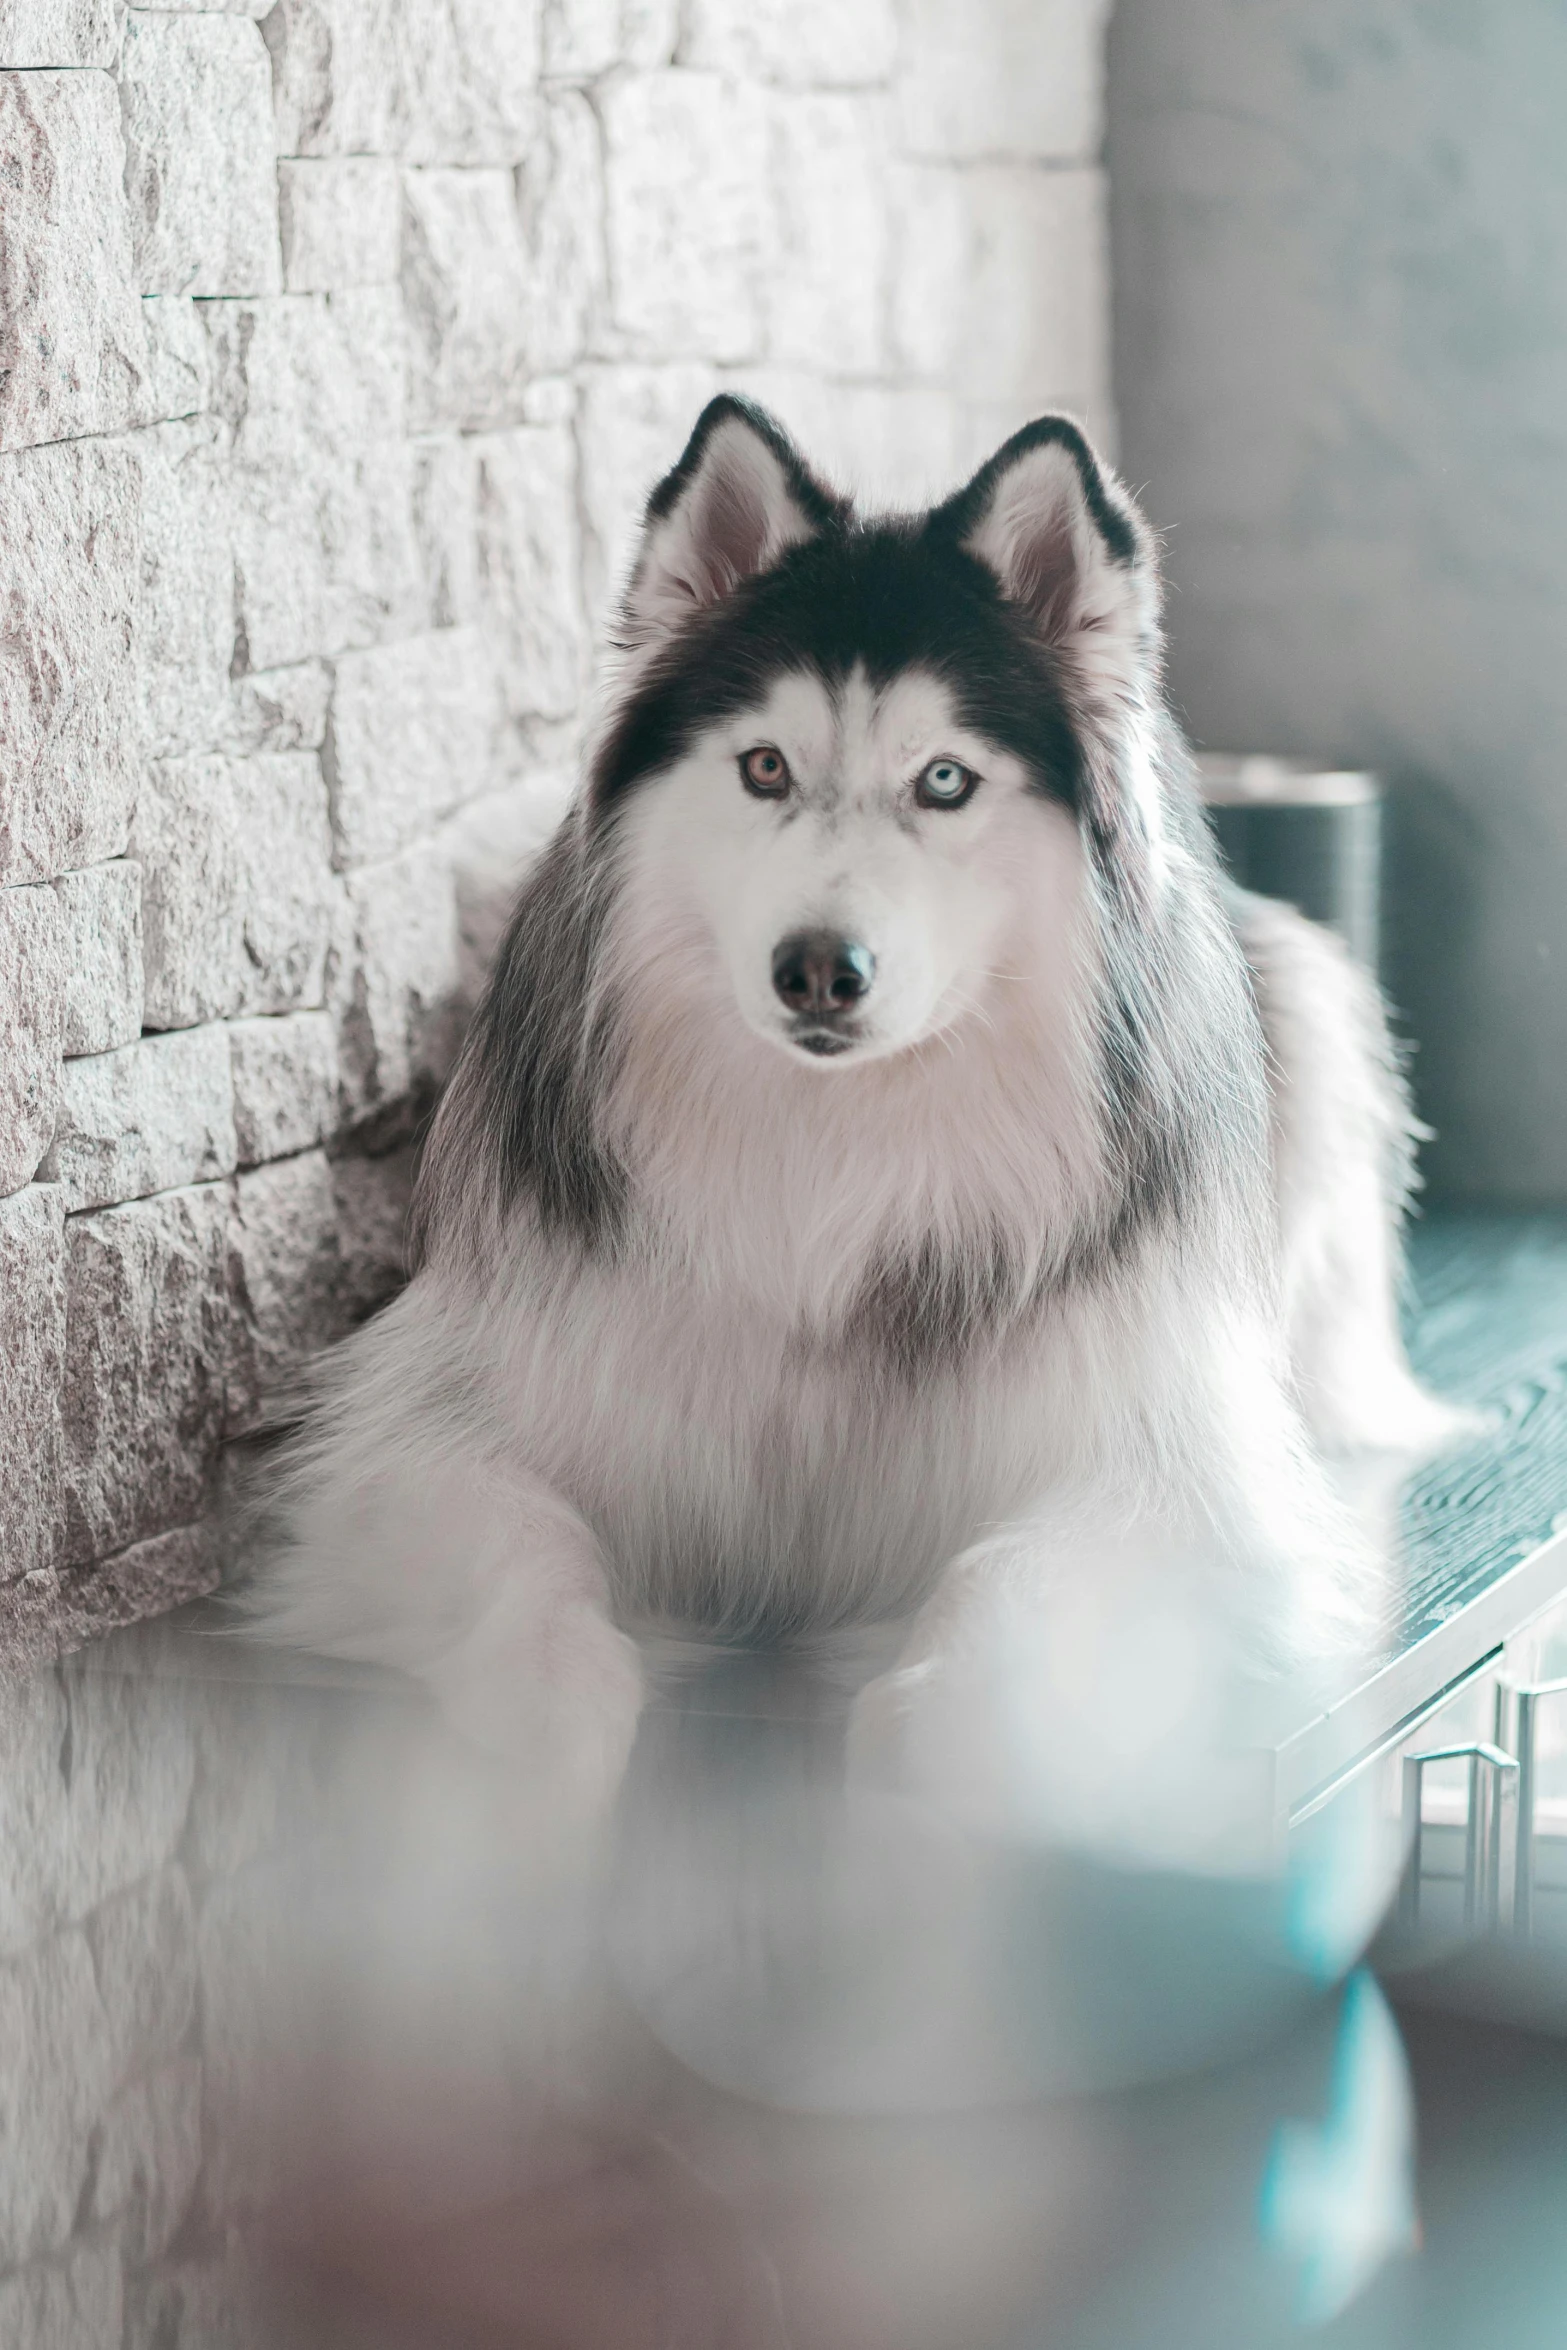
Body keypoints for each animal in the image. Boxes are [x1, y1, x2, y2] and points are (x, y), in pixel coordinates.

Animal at [260, 404, 1456, 1795]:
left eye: (943, 780)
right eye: (765, 766)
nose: (820, 969)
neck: (839, 1139)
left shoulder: (1167, 1477)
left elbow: (1014, 1573)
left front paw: (932, 1719)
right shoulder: (431, 1437)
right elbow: (523, 1547)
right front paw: (550, 1706)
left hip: (1313, 1004)